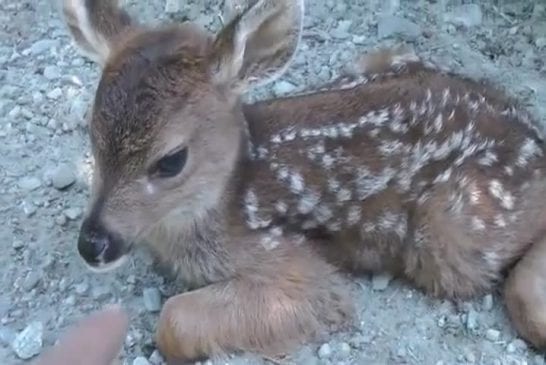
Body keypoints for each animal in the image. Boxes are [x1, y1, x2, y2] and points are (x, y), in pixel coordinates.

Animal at [61, 0, 544, 362]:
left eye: (171, 161)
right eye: (91, 136)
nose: (93, 243)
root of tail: (531, 133)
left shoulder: (293, 264)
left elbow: (172, 321)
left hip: (455, 231)